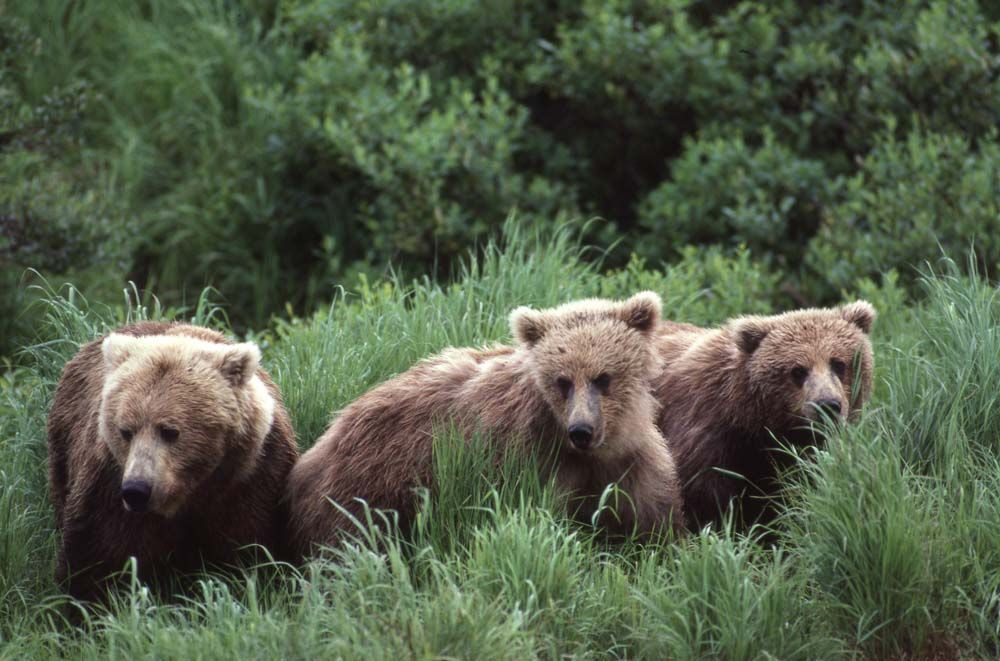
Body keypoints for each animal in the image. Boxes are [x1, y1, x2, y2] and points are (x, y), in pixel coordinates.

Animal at [47, 321, 299, 602]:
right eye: (126, 431)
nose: (137, 489)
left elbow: (250, 549)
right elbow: (99, 557)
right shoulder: (109, 487)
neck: (190, 493)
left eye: (169, 431)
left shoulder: (249, 481)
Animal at [286, 292, 685, 559]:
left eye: (603, 377)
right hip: (365, 485)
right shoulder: (526, 458)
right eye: (562, 381)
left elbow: (652, 517)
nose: (581, 431)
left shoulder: (628, 464)